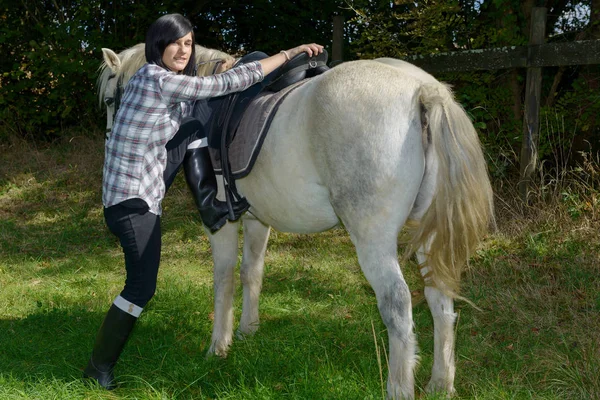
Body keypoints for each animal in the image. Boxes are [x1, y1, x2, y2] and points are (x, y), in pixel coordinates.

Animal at [97, 44, 492, 400]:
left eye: (110, 100)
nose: (112, 138)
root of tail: (422, 89)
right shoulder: (257, 220)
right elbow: (251, 273)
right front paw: (248, 329)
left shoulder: (221, 224)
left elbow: (223, 279)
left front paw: (218, 346)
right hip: (429, 234)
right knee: (439, 299)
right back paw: (441, 383)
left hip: (373, 239)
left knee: (397, 306)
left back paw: (399, 388)